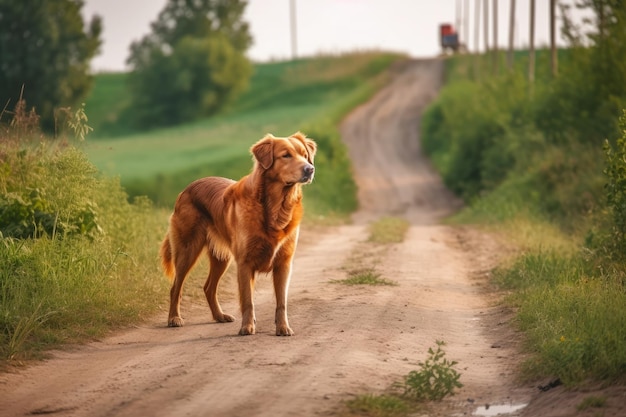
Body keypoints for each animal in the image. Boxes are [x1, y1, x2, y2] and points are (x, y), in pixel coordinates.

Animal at [158, 132, 314, 336]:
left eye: (304, 155)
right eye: (286, 155)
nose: (310, 169)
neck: (274, 207)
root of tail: (186, 189)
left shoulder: (283, 263)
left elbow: (281, 302)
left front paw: (283, 327)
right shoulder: (244, 262)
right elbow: (248, 301)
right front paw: (247, 327)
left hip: (221, 258)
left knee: (208, 287)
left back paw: (219, 316)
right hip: (187, 251)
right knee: (175, 287)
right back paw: (174, 318)